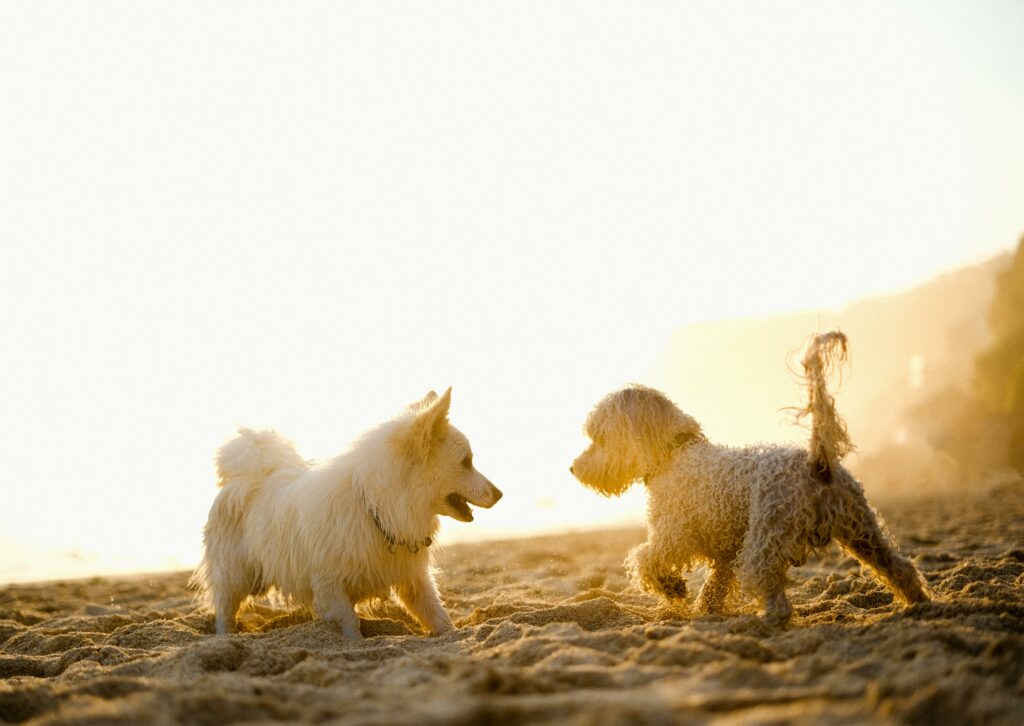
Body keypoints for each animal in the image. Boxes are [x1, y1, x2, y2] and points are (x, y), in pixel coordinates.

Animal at [190, 387, 501, 638]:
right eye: (467, 462)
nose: (500, 494)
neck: (379, 509)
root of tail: (246, 478)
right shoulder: (330, 588)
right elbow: (351, 624)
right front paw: (356, 642)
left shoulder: (413, 580)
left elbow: (437, 614)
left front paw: (454, 634)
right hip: (234, 577)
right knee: (225, 611)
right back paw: (225, 637)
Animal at [573, 333, 933, 622]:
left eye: (599, 437)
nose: (573, 469)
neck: (675, 453)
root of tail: (816, 462)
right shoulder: (724, 552)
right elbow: (714, 585)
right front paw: (705, 609)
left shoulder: (672, 534)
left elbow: (645, 559)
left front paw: (673, 588)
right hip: (862, 530)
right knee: (899, 567)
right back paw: (920, 604)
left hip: (767, 537)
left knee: (771, 589)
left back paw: (767, 620)